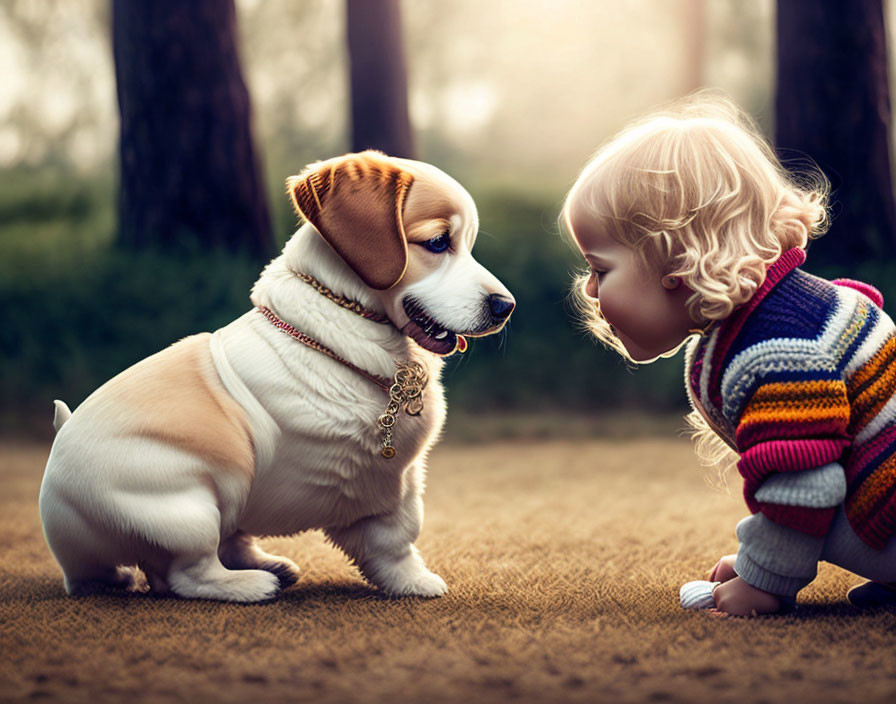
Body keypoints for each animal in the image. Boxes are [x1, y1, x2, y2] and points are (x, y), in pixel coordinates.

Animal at [42, 151, 516, 604]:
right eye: (437, 242)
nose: (505, 307)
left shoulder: (398, 480)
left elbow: (393, 538)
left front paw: (409, 581)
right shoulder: (377, 479)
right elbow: (393, 537)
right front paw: (414, 581)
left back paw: (263, 565)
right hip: (189, 508)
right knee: (184, 574)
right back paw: (249, 585)